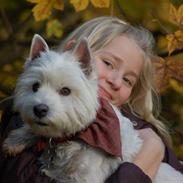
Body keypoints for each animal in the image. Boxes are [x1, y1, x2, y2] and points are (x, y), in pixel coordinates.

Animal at [2, 34, 183, 183]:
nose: (40, 109)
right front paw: (15, 141)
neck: (83, 132)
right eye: (35, 86)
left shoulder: (85, 177)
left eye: (65, 91)